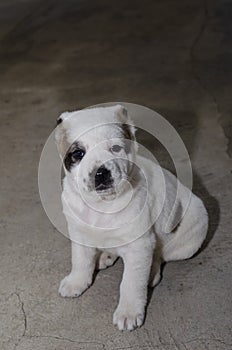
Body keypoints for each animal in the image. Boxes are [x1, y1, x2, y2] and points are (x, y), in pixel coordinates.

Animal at [54, 104, 208, 330]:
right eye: (79, 154)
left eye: (116, 148)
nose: (101, 173)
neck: (102, 205)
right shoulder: (79, 233)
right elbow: (80, 260)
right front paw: (77, 281)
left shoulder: (139, 244)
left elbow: (131, 282)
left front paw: (128, 311)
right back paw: (106, 256)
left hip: (191, 235)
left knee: (159, 255)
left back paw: (151, 272)